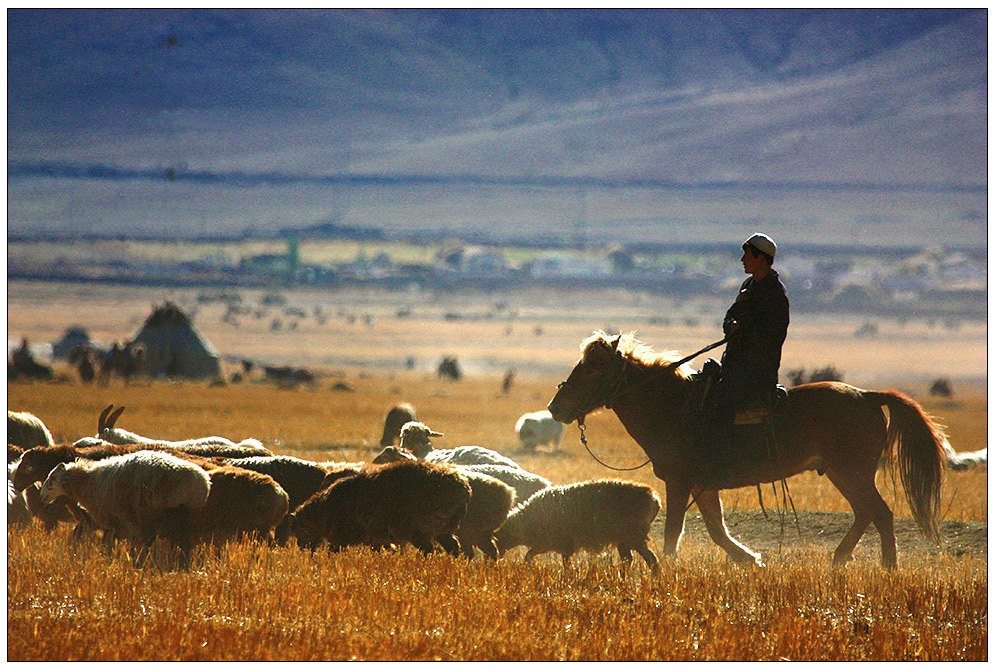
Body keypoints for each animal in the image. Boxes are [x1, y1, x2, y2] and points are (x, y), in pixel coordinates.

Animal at [40, 448, 210, 568]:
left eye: (53, 478)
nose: (42, 496)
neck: (89, 482)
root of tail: (200, 482)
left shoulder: (118, 521)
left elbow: (111, 545)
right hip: (184, 518)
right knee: (184, 546)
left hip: (158, 515)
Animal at [492, 480, 660, 576]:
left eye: (497, 538)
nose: (495, 559)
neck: (525, 522)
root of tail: (654, 498)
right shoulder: (546, 544)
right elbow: (529, 555)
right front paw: (528, 569)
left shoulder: (562, 543)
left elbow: (565, 564)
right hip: (625, 539)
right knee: (629, 560)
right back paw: (624, 579)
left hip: (634, 536)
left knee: (651, 560)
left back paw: (653, 580)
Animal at [548, 334, 944, 568]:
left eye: (591, 369)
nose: (556, 407)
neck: (672, 407)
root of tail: (868, 396)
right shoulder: (703, 485)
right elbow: (716, 530)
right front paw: (751, 560)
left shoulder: (680, 481)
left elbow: (673, 531)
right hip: (840, 473)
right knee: (865, 513)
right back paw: (839, 558)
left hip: (853, 473)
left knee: (881, 514)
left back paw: (887, 568)